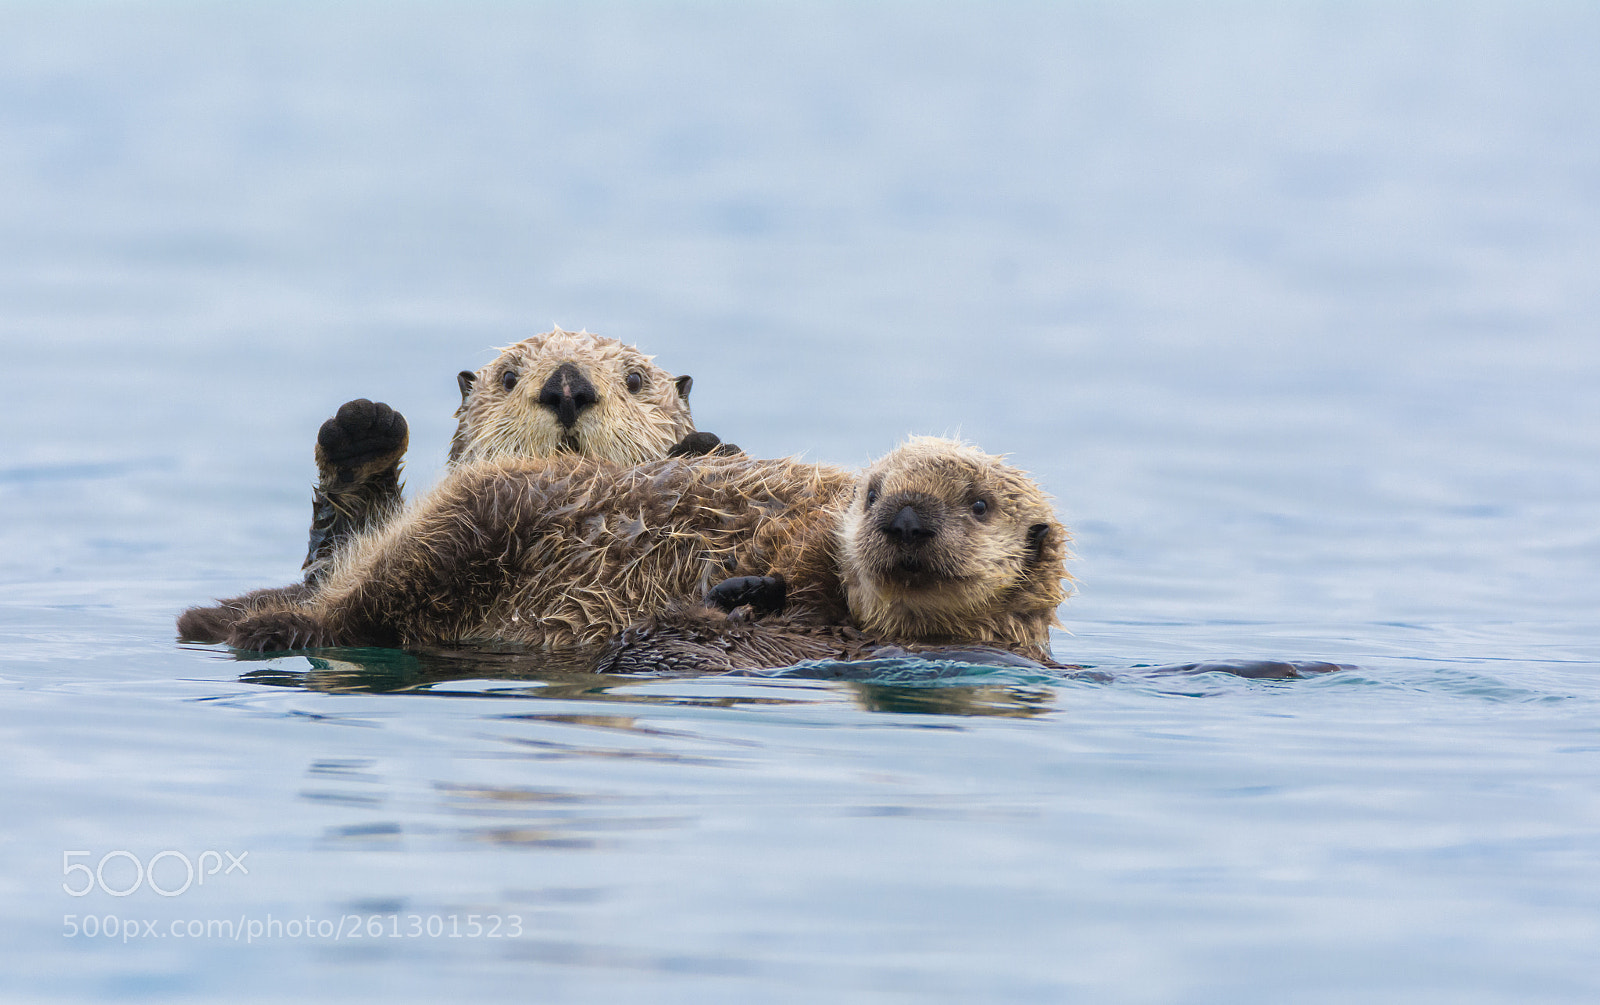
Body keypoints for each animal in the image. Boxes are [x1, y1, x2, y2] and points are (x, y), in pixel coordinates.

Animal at [178, 327, 731, 643]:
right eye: (508, 377)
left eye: (635, 381)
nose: (567, 387)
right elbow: (326, 564)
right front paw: (361, 430)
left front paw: (703, 446)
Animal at [221, 438, 1069, 665]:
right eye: (872, 490)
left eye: (979, 503)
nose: (902, 517)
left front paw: (740, 593)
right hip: (482, 510)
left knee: (362, 613)